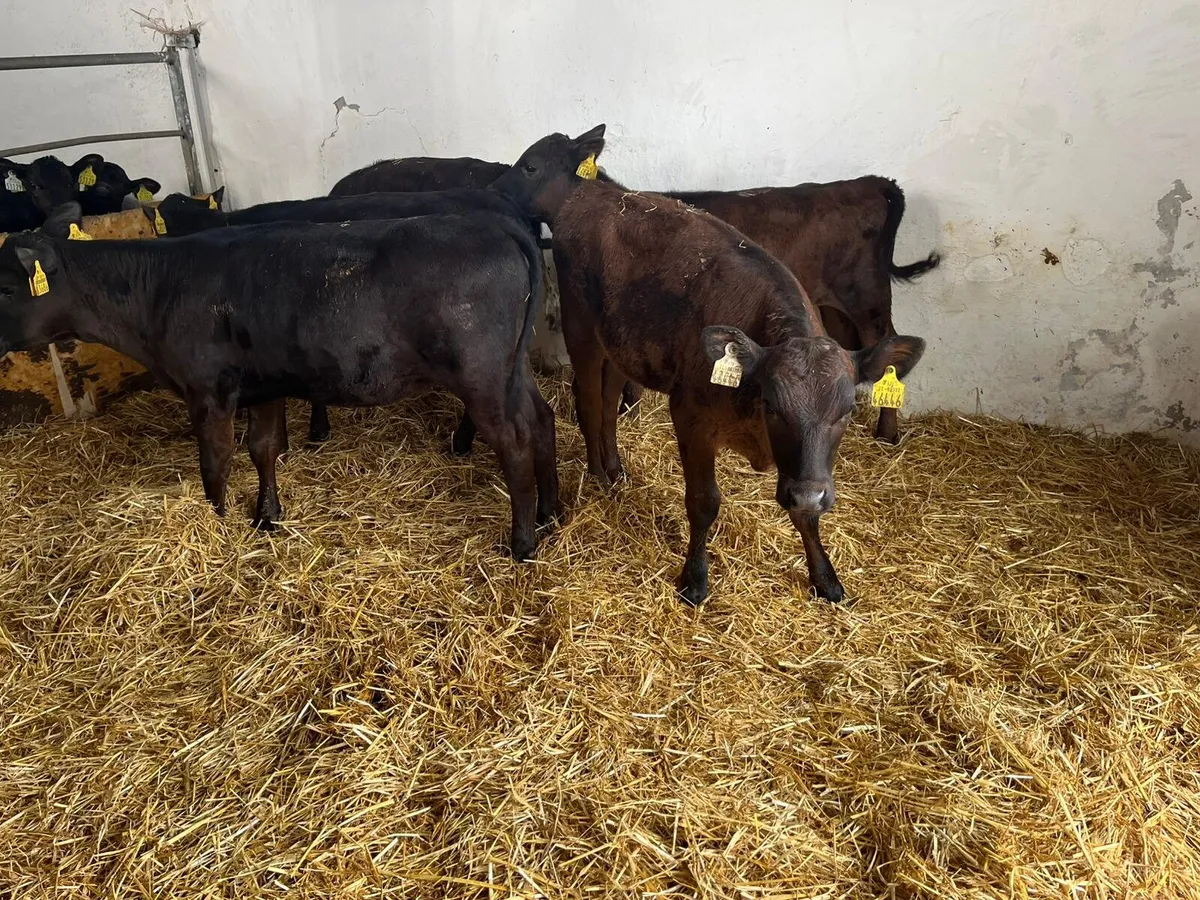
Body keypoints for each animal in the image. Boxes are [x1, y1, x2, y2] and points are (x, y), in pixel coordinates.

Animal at [0, 202, 558, 560]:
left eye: (6, 286)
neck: (160, 289)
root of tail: (497, 225)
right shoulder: (263, 386)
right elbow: (262, 449)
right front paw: (267, 517)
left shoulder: (209, 391)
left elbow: (216, 465)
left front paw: (217, 526)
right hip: (512, 371)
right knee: (543, 418)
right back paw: (551, 513)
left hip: (481, 377)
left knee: (515, 441)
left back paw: (522, 542)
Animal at [488, 127, 924, 605]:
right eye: (773, 406)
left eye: (844, 412)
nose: (495, 190)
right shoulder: (691, 418)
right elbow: (703, 502)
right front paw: (695, 580)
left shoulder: (805, 469)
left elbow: (805, 509)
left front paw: (824, 575)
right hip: (582, 328)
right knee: (587, 401)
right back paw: (599, 474)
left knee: (606, 404)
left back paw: (614, 470)